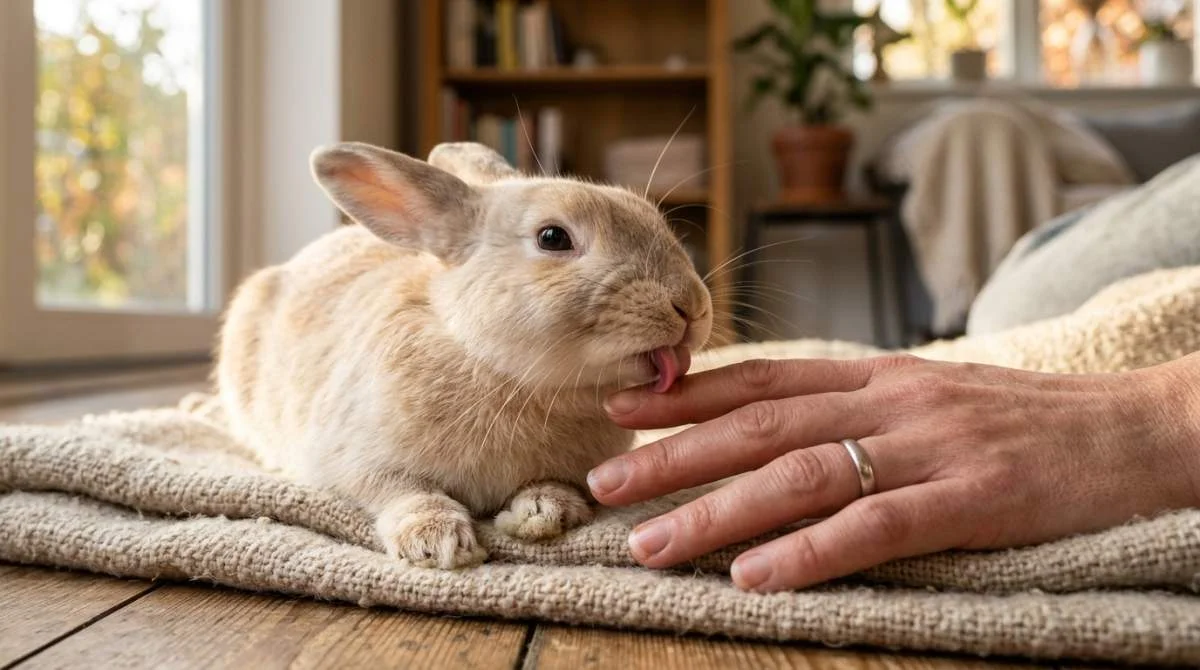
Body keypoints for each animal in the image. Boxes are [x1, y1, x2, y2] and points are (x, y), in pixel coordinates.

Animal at [215, 141, 713, 569]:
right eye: (552, 237)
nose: (691, 306)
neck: (510, 376)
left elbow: (552, 486)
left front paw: (541, 513)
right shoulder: (355, 459)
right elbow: (403, 492)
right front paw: (436, 543)